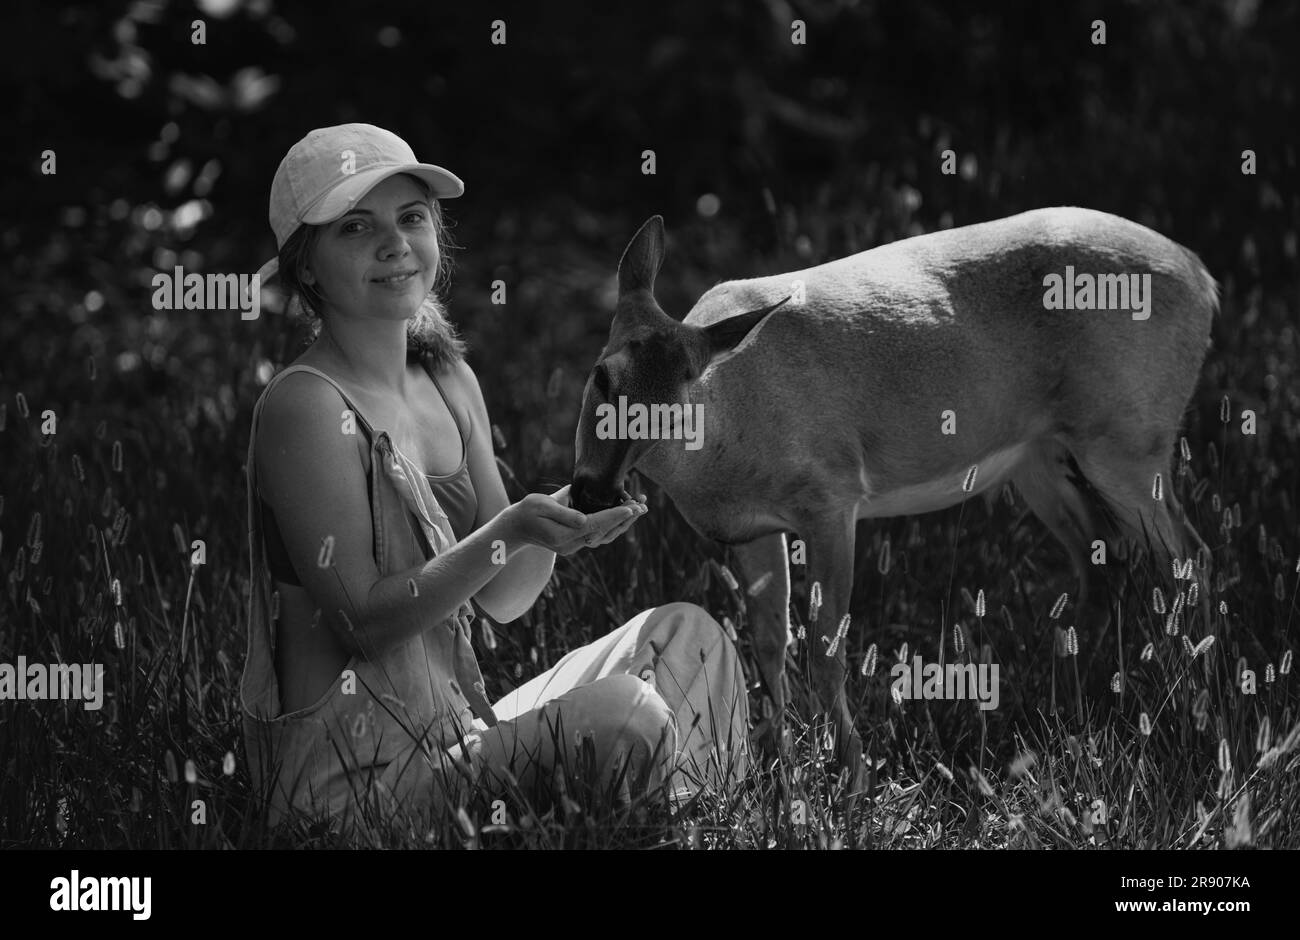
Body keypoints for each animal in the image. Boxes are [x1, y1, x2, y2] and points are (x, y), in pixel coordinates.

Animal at [570, 207, 1218, 791]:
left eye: (676, 404)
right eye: (602, 375)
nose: (593, 491)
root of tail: (1202, 278)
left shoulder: (831, 496)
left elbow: (826, 649)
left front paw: (851, 777)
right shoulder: (752, 530)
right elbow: (769, 642)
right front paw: (777, 770)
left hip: (1129, 438)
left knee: (1190, 557)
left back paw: (1197, 713)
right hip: (1041, 458)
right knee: (1101, 559)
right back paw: (1076, 703)